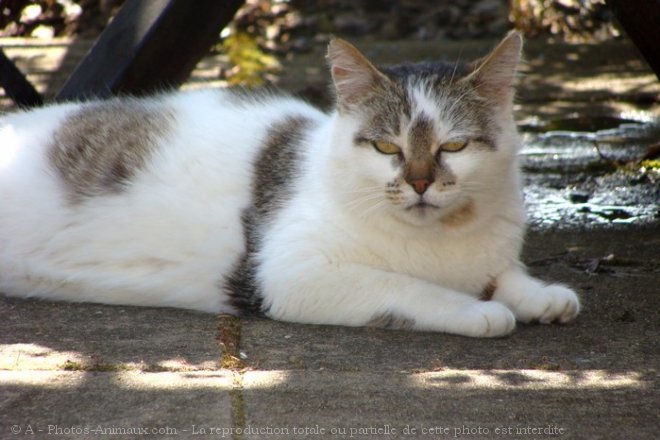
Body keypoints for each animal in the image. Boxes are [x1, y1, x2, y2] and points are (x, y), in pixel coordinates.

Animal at [0, 32, 576, 338]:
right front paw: (479, 311)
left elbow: (502, 272)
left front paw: (541, 295)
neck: (443, 238)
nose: (418, 183)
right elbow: (408, 286)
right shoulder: (292, 274)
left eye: (453, 146)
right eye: (386, 148)